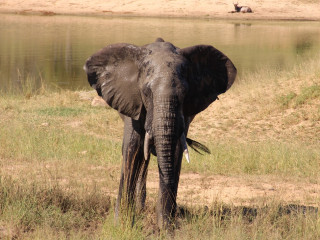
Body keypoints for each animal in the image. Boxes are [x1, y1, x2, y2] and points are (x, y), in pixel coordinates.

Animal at [84, 37, 236, 229]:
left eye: (185, 94)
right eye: (146, 92)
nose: (176, 213)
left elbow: (176, 151)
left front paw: (166, 226)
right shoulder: (134, 103)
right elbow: (132, 149)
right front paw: (121, 224)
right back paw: (139, 209)